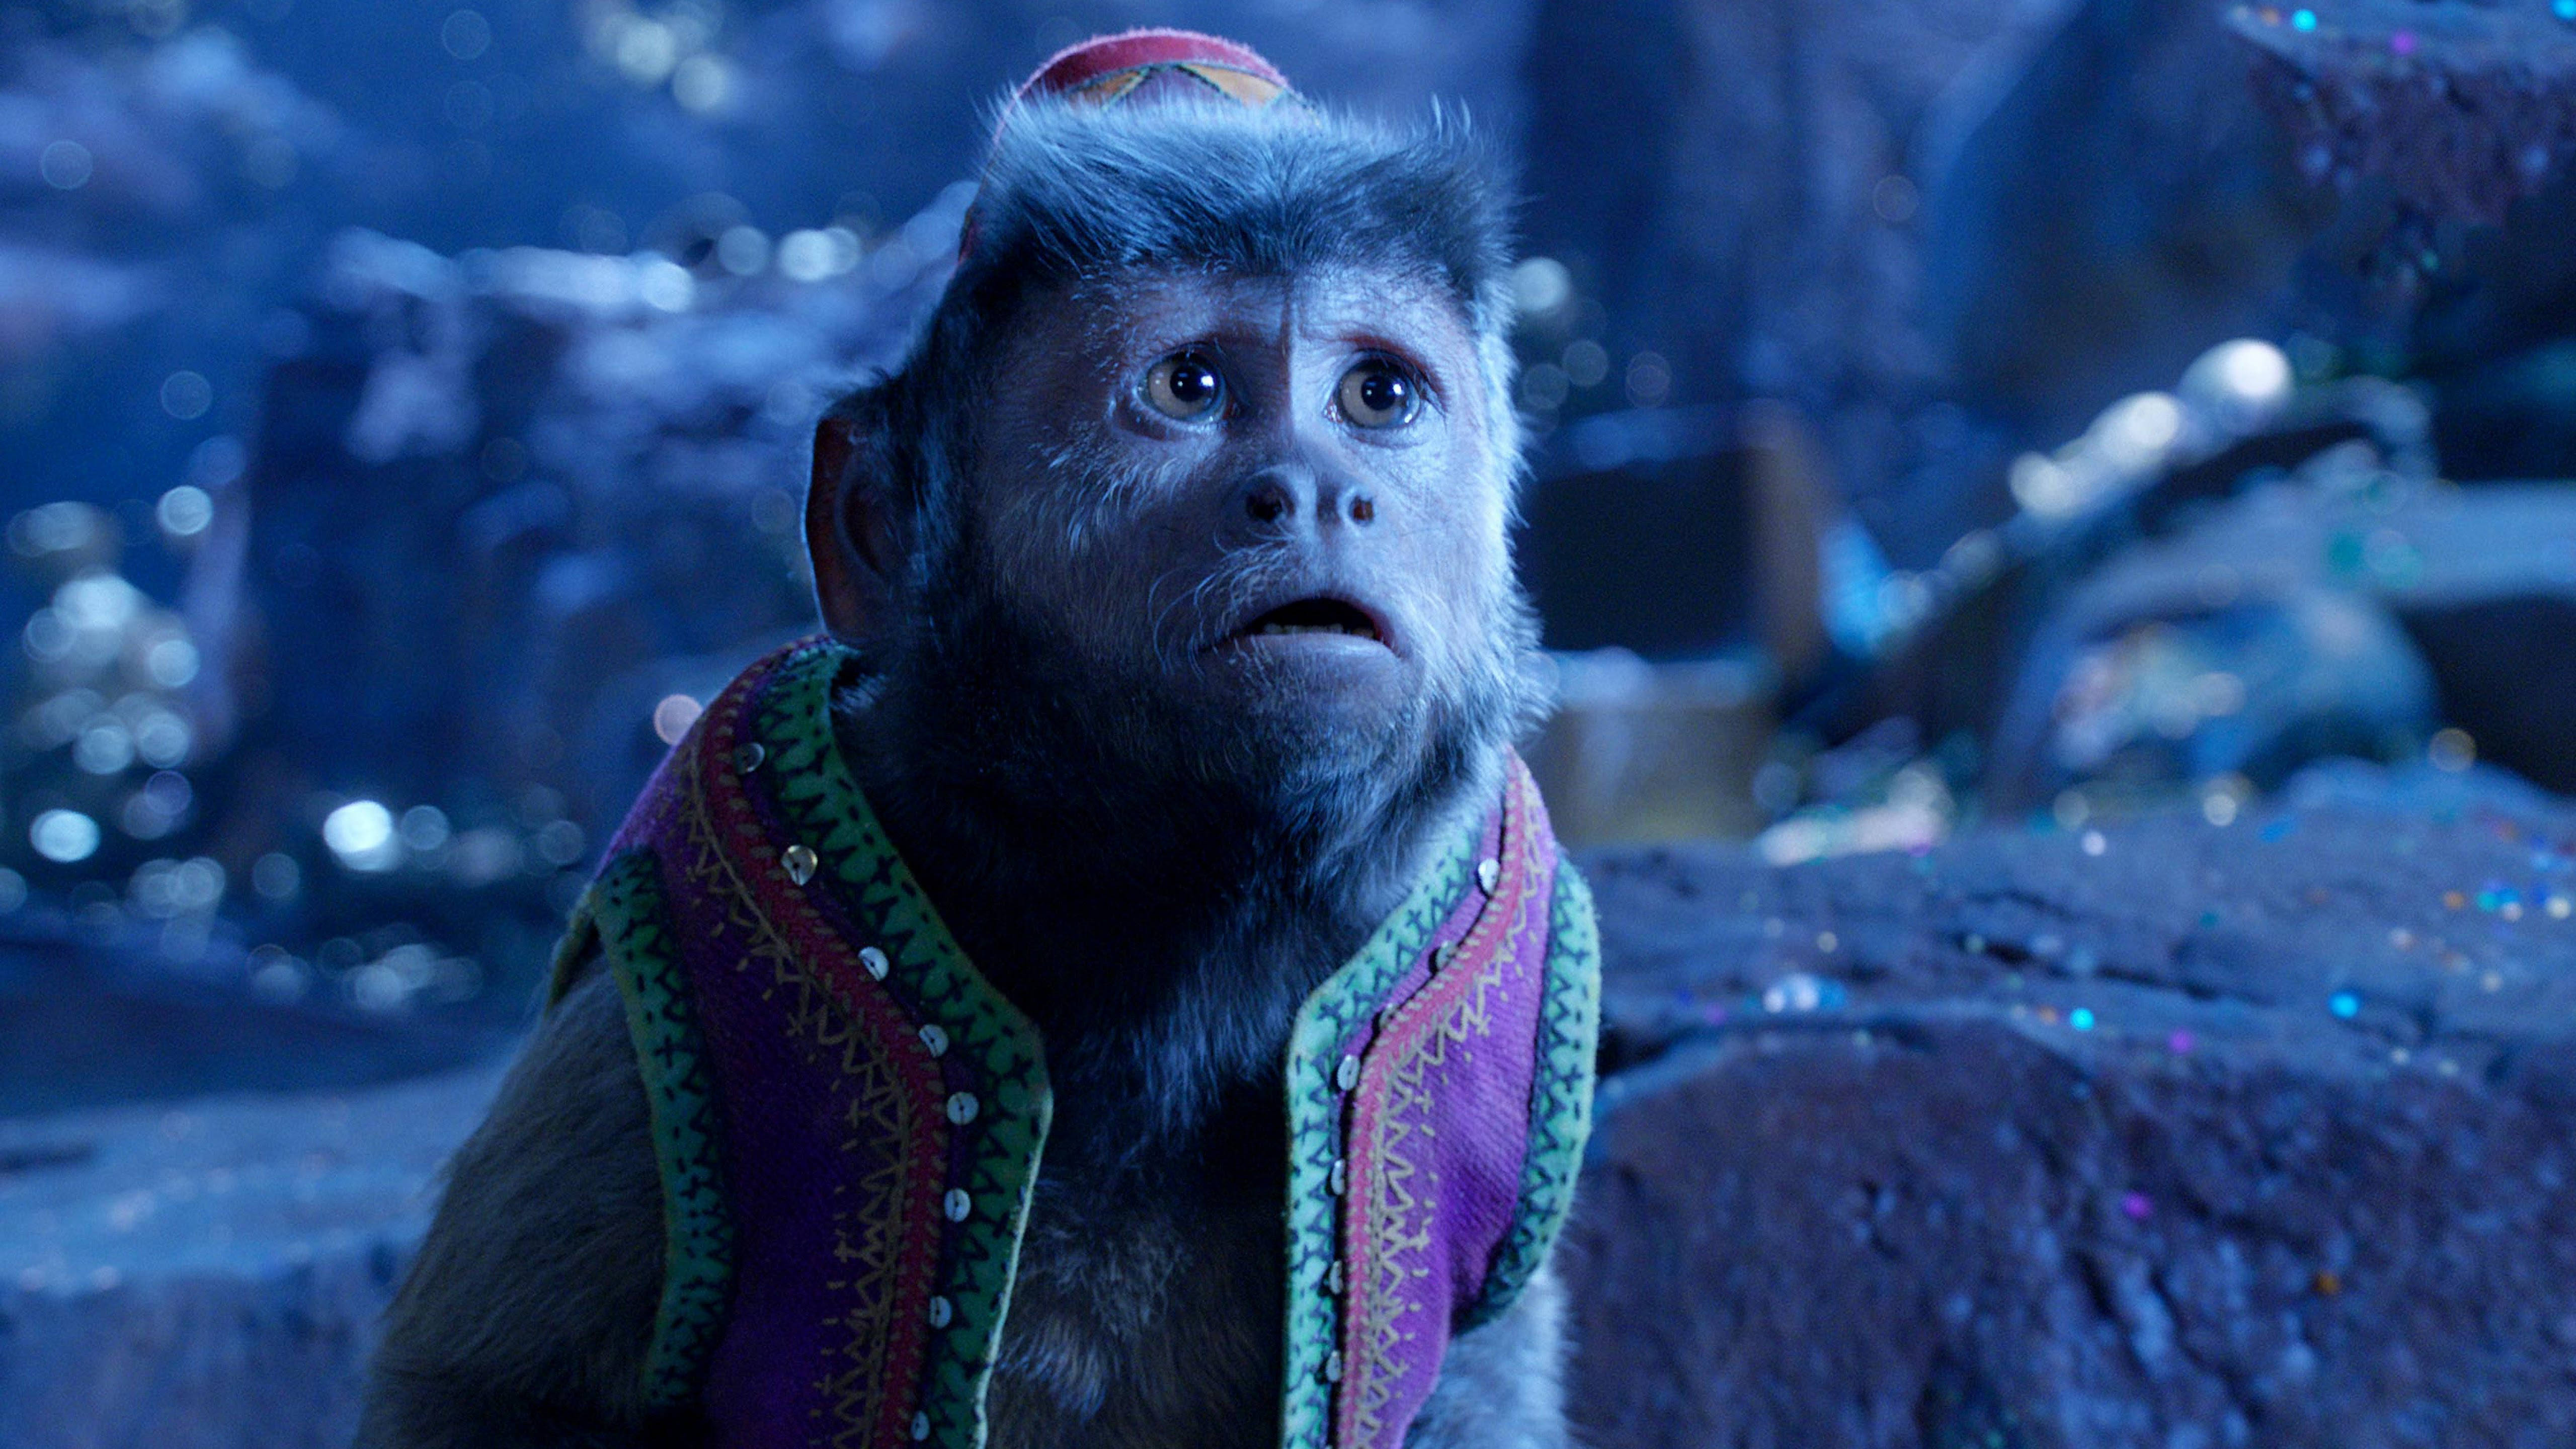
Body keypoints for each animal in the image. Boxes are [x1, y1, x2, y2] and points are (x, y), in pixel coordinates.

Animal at [356, 30, 1600, 1449]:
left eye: (1378, 395)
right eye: (1191, 387)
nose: (1316, 491)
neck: (1169, 913)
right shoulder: (650, 995)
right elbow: (479, 1394)